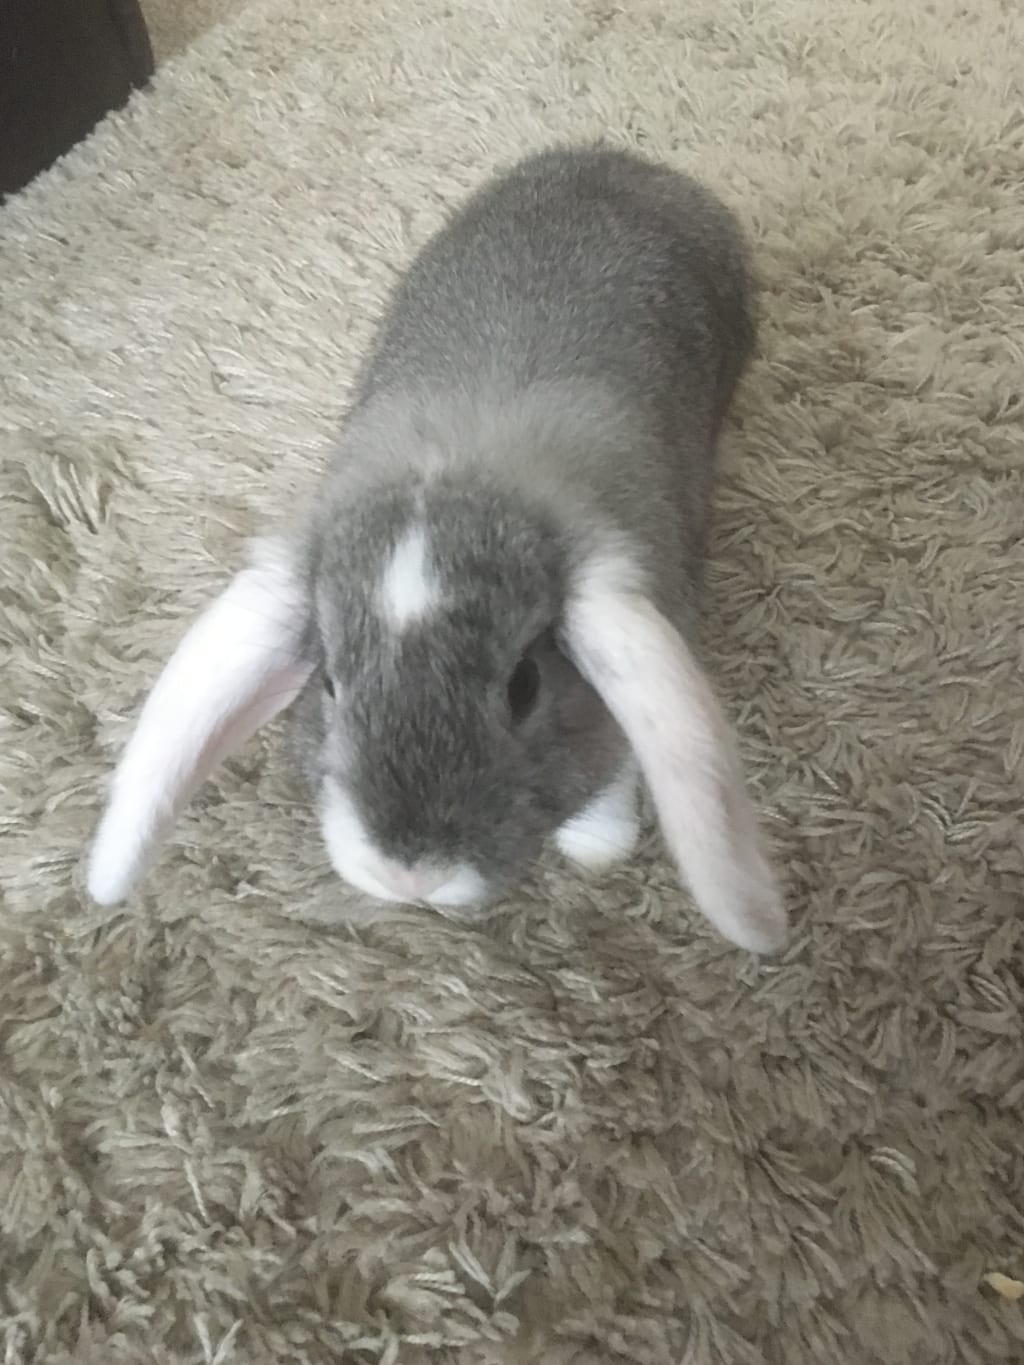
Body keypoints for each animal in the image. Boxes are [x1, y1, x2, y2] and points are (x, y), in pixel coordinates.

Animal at [87, 144, 786, 954]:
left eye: (525, 684)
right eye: (329, 683)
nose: (411, 876)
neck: (457, 467)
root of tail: (614, 158)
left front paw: (596, 846)